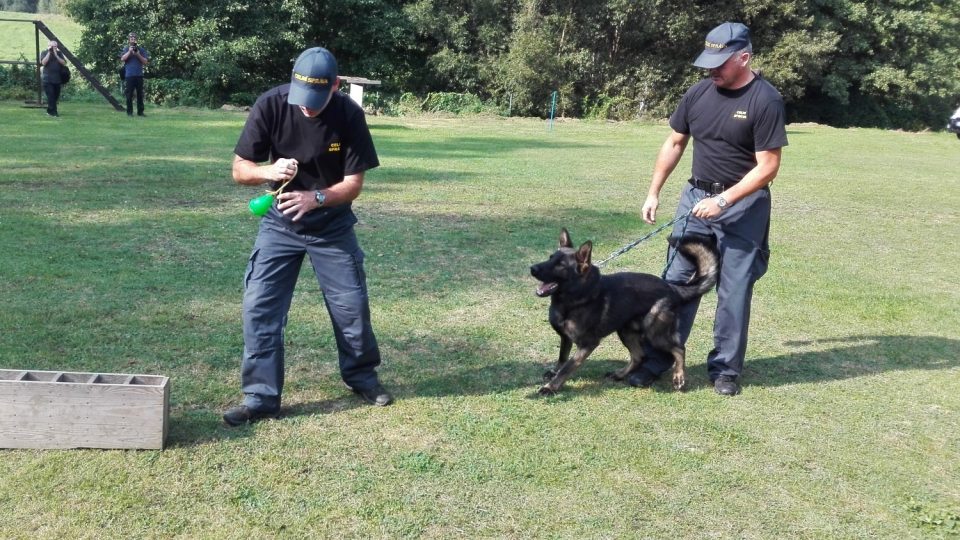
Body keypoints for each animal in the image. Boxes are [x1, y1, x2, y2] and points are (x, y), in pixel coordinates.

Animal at [528, 228, 716, 396]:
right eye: (550, 258)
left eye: (560, 265)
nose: (532, 268)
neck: (574, 298)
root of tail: (671, 287)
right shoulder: (565, 338)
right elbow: (562, 358)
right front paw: (553, 374)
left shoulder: (588, 344)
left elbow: (568, 366)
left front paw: (551, 387)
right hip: (625, 332)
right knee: (639, 356)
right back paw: (620, 374)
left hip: (654, 333)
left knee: (679, 348)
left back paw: (678, 376)